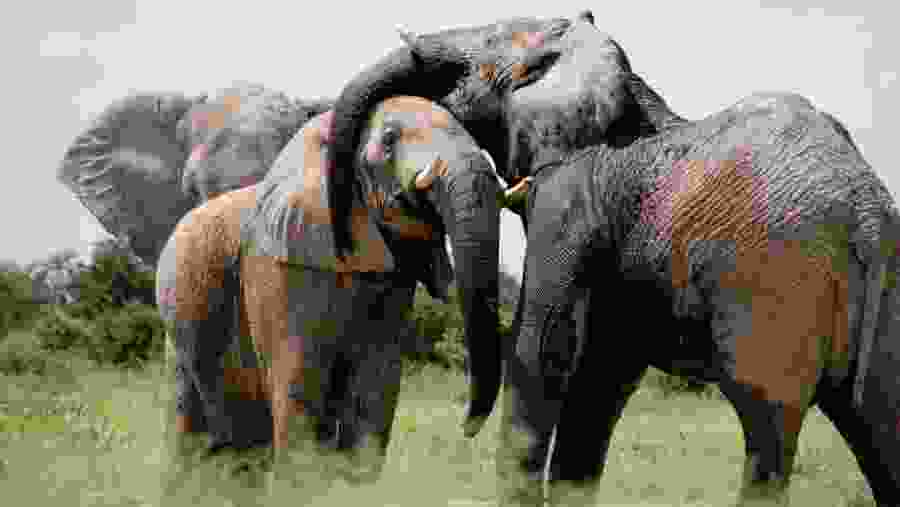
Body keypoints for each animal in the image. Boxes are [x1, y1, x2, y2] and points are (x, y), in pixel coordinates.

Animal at [155, 95, 505, 499]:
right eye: (389, 140)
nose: (466, 429)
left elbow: (375, 389)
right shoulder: (280, 265)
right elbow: (300, 386)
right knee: (188, 431)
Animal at [324, 12, 900, 507]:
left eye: (487, 46)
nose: (465, 428)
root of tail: (866, 211)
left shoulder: (569, 192)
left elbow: (542, 351)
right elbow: (599, 375)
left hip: (775, 283)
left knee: (768, 433)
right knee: (880, 426)